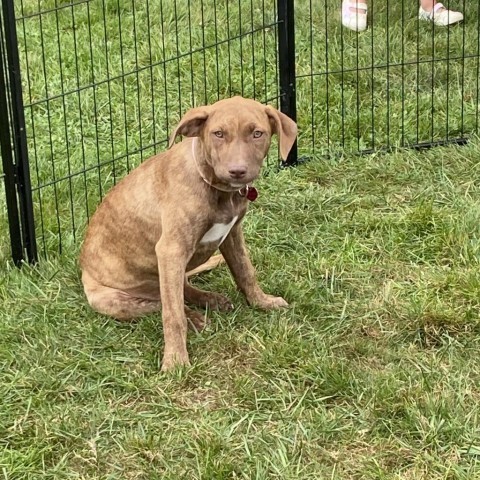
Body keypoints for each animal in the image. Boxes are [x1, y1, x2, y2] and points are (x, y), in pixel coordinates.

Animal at [79, 94, 296, 372]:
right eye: (218, 134)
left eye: (257, 133)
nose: (237, 171)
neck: (216, 188)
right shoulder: (171, 250)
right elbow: (172, 315)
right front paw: (175, 361)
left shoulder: (232, 234)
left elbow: (246, 272)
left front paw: (262, 302)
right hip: (111, 300)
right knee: (161, 303)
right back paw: (195, 319)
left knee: (181, 289)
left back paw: (210, 300)